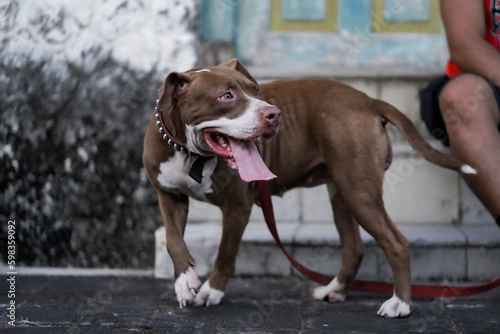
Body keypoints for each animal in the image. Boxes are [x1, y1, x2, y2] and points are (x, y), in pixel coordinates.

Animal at [144, 58, 476, 318]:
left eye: (255, 90)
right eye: (226, 96)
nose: (274, 114)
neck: (189, 152)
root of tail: (369, 101)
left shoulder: (237, 207)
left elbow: (225, 252)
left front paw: (210, 291)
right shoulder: (168, 196)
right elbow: (173, 240)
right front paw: (185, 281)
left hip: (359, 190)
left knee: (396, 242)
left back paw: (400, 304)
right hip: (342, 192)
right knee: (354, 246)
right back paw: (335, 290)